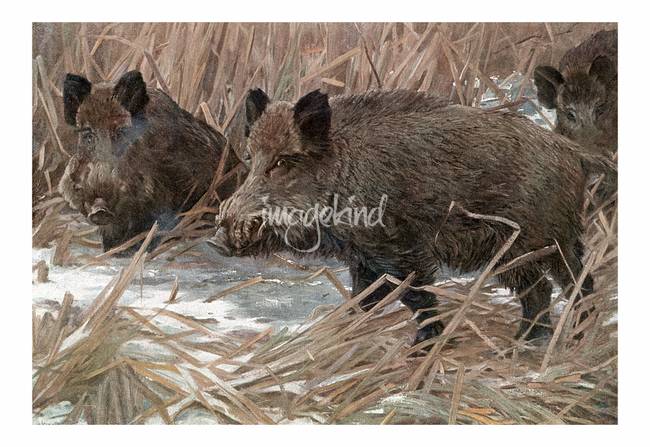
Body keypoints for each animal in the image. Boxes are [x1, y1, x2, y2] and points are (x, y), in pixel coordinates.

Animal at [210, 88, 594, 346]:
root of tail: (573, 153)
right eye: (250, 158)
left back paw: (530, 342)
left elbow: (417, 296)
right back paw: (564, 334)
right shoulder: (363, 256)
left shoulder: (400, 248)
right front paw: (347, 327)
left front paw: (424, 347)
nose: (218, 239)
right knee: (576, 282)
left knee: (543, 290)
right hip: (558, 241)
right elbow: (363, 296)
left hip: (521, 244)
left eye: (282, 162)